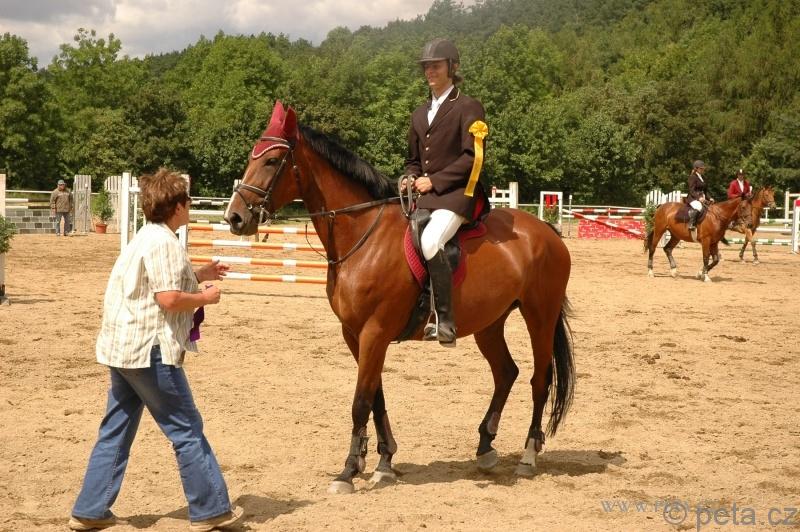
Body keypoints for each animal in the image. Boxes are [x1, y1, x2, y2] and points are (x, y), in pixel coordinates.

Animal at [224, 101, 575, 494]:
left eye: (272, 161)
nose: (234, 217)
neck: (363, 235)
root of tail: (546, 231)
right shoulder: (354, 334)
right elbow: (376, 396)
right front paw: (382, 461)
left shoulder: (374, 332)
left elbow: (361, 401)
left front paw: (348, 471)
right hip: (490, 323)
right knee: (506, 373)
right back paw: (485, 447)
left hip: (539, 317)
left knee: (539, 380)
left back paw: (528, 456)